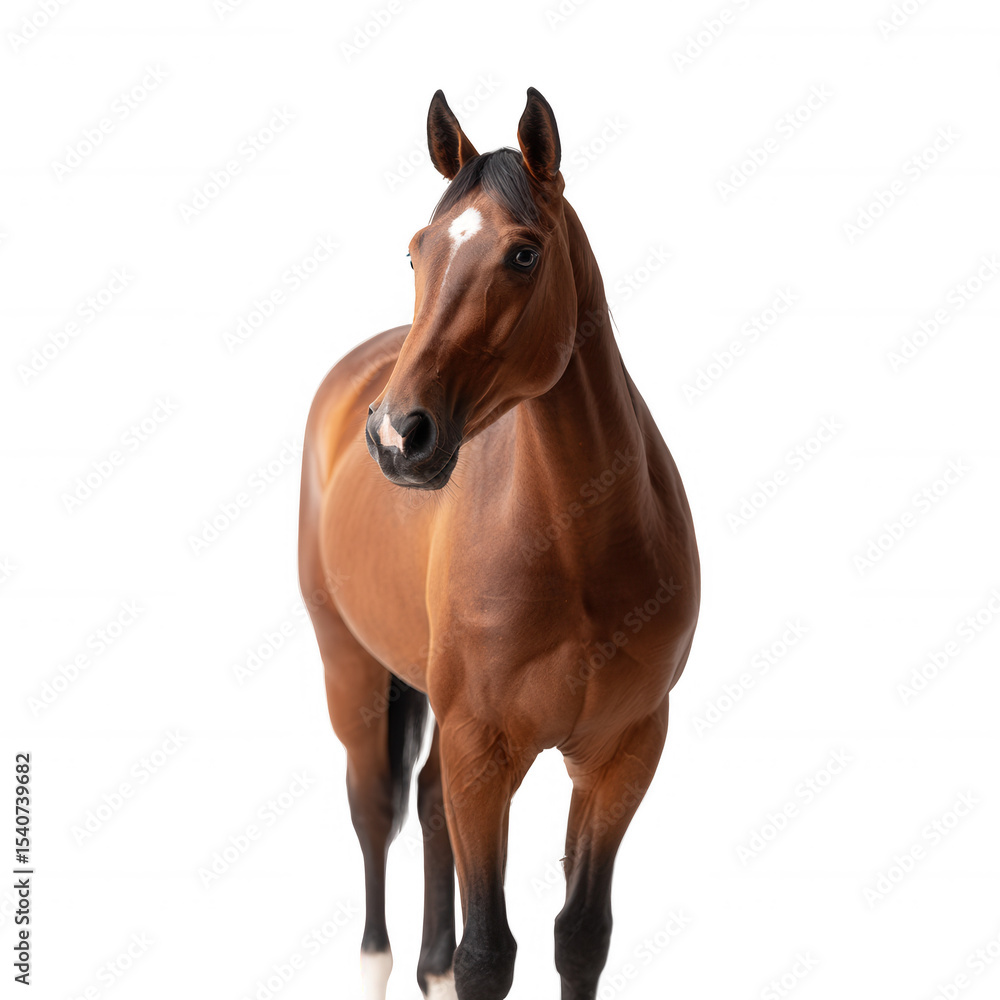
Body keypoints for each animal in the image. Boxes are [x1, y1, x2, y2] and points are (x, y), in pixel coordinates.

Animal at [298, 87, 699, 1000]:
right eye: (417, 251)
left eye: (523, 254)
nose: (397, 436)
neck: (579, 546)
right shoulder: (483, 748)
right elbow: (488, 956)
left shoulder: (622, 752)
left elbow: (581, 936)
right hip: (351, 668)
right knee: (374, 810)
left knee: (427, 807)